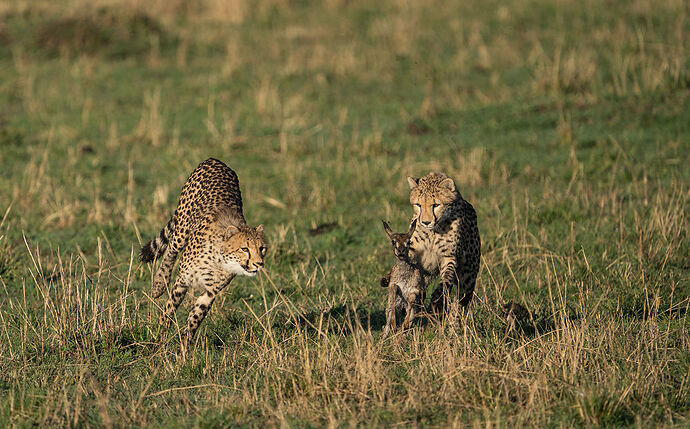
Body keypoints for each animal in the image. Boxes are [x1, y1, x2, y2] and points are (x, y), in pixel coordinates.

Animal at [140, 157, 266, 352]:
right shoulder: (182, 280)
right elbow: (169, 309)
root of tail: (215, 160)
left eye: (261, 249)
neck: (219, 260)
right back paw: (159, 284)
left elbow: (195, 319)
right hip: (182, 229)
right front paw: (159, 336)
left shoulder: (209, 293)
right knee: (170, 252)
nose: (259, 263)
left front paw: (184, 348)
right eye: (244, 249)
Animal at [404, 171, 478, 314]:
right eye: (418, 205)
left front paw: (438, 295)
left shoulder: (449, 256)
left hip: (468, 278)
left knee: (460, 302)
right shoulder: (414, 253)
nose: (425, 222)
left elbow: (446, 279)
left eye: (436, 205)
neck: (433, 233)